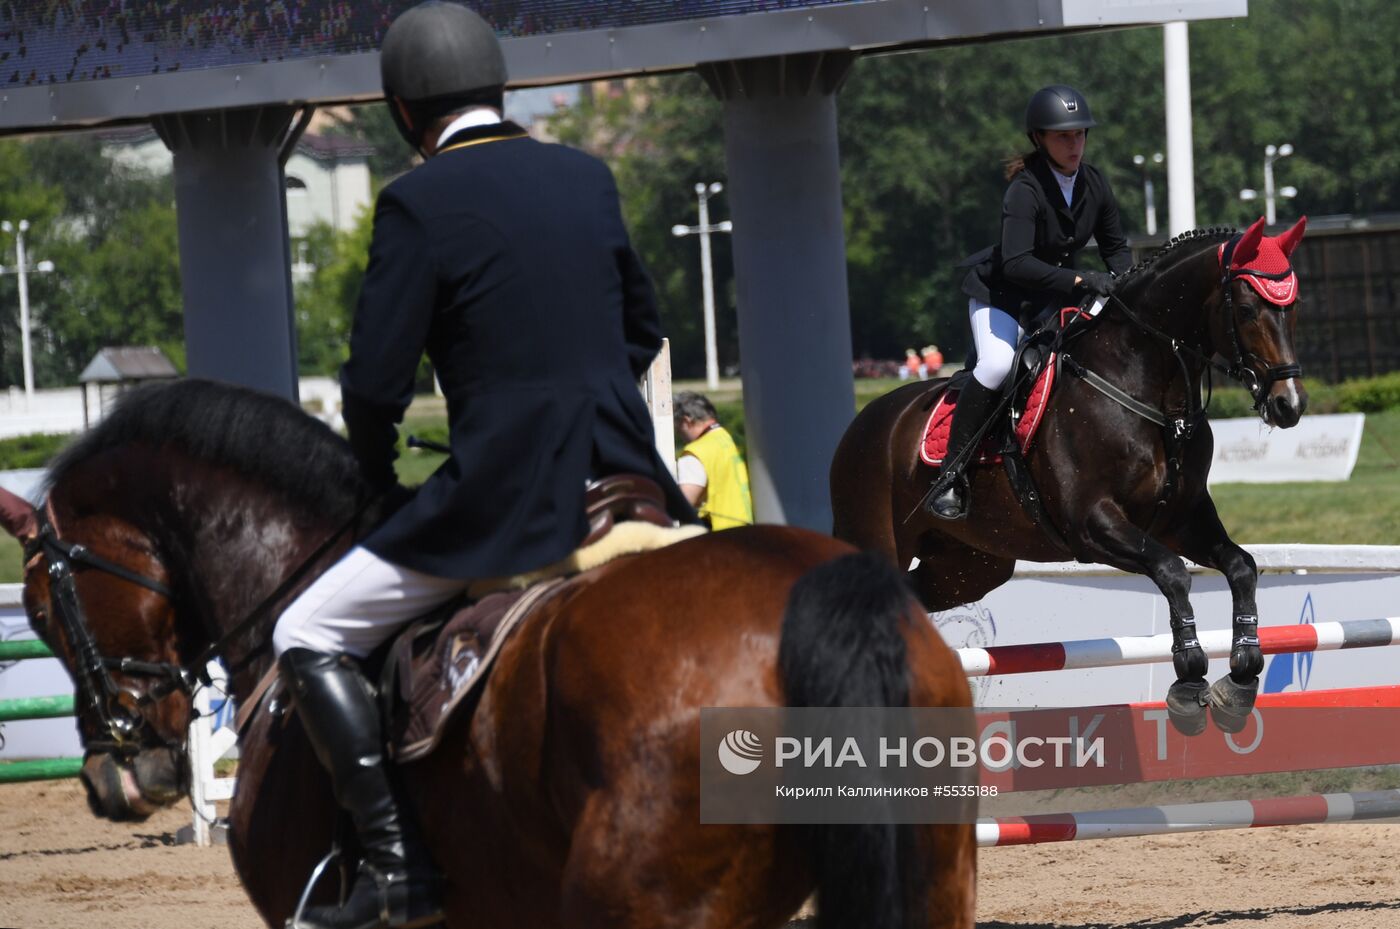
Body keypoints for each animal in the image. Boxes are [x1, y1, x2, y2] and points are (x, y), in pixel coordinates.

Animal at [828, 215, 1310, 733]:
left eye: (1293, 308)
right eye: (1247, 309)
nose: (1289, 405)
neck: (1152, 395)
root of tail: (862, 423)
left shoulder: (1181, 521)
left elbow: (1241, 566)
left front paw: (1240, 678)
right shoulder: (1092, 525)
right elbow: (1173, 572)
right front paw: (1188, 680)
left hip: (968, 566)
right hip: (880, 539)